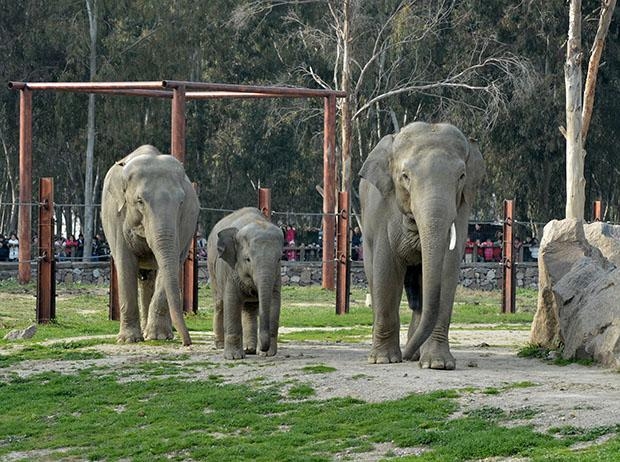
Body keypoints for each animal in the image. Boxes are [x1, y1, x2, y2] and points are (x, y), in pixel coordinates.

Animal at [101, 145, 199, 346]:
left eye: (181, 202)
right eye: (140, 201)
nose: (187, 343)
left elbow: (172, 265)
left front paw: (157, 336)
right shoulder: (116, 217)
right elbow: (125, 264)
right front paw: (128, 340)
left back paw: (157, 333)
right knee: (145, 277)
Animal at [208, 207, 286, 360]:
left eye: (279, 259)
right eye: (247, 259)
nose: (264, 347)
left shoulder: (277, 274)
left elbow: (274, 302)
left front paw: (267, 354)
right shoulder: (230, 269)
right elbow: (231, 301)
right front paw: (234, 357)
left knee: (249, 309)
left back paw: (249, 349)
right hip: (211, 267)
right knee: (219, 304)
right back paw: (220, 345)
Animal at [358, 121, 484, 370]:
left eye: (461, 176)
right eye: (405, 176)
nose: (406, 355)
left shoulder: (462, 208)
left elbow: (446, 270)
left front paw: (438, 364)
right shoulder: (382, 211)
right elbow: (387, 270)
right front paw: (384, 360)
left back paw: (417, 354)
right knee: (374, 277)